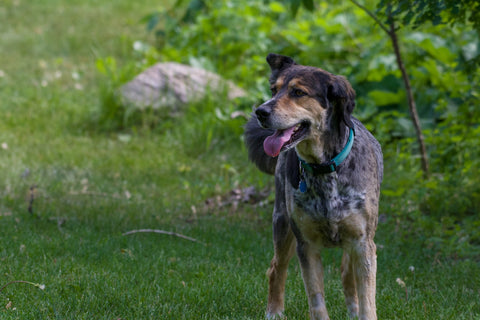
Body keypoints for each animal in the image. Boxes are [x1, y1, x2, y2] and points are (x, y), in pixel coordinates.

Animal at [244, 53, 382, 320]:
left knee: (347, 275)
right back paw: (274, 311)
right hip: (282, 223)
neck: (324, 168)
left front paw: (360, 310)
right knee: (276, 268)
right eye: (274, 90)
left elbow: (367, 300)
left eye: (298, 92)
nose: (260, 111)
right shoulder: (306, 245)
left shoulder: (363, 243)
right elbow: (316, 300)